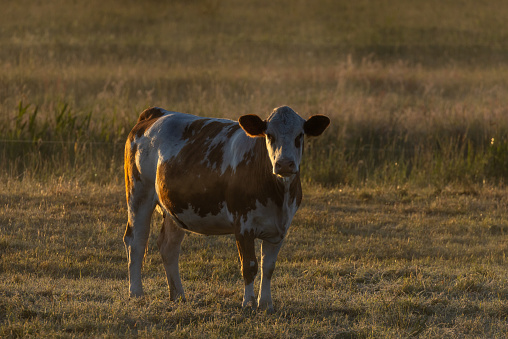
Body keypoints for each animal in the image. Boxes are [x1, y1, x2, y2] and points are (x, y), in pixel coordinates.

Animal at [123, 105, 330, 314]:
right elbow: (249, 265)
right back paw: (136, 293)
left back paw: (178, 295)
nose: (285, 164)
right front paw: (249, 303)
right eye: (270, 135)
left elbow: (268, 267)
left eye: (299, 135)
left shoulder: (280, 228)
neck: (279, 196)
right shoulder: (243, 225)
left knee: (169, 246)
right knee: (136, 242)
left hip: (175, 209)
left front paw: (266, 304)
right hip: (139, 195)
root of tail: (156, 112)